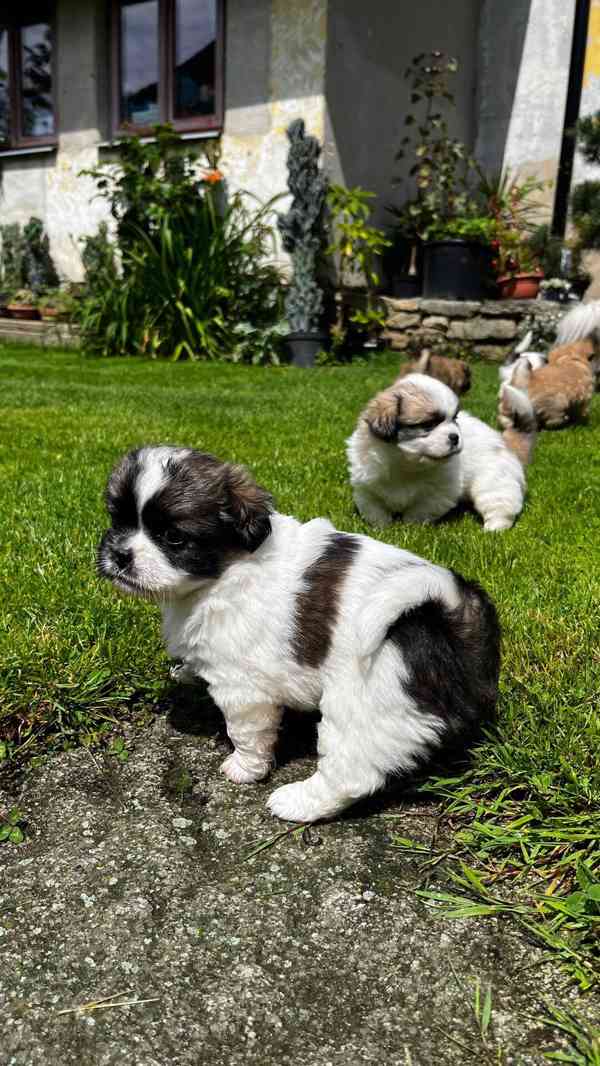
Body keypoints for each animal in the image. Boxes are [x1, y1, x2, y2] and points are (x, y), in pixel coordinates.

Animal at [98, 447, 503, 822]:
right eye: (118, 518)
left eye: (172, 538)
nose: (120, 555)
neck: (228, 568)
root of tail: (449, 610)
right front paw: (186, 673)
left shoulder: (242, 688)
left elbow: (245, 732)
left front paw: (244, 768)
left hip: (365, 704)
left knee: (351, 772)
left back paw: (295, 802)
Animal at [345, 375, 537, 533]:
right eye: (428, 424)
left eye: (454, 419)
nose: (455, 437)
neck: (406, 465)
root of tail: (506, 443)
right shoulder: (366, 488)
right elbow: (375, 510)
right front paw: (382, 528)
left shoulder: (438, 494)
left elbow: (418, 511)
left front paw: (409, 527)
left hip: (493, 483)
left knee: (499, 505)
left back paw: (493, 530)